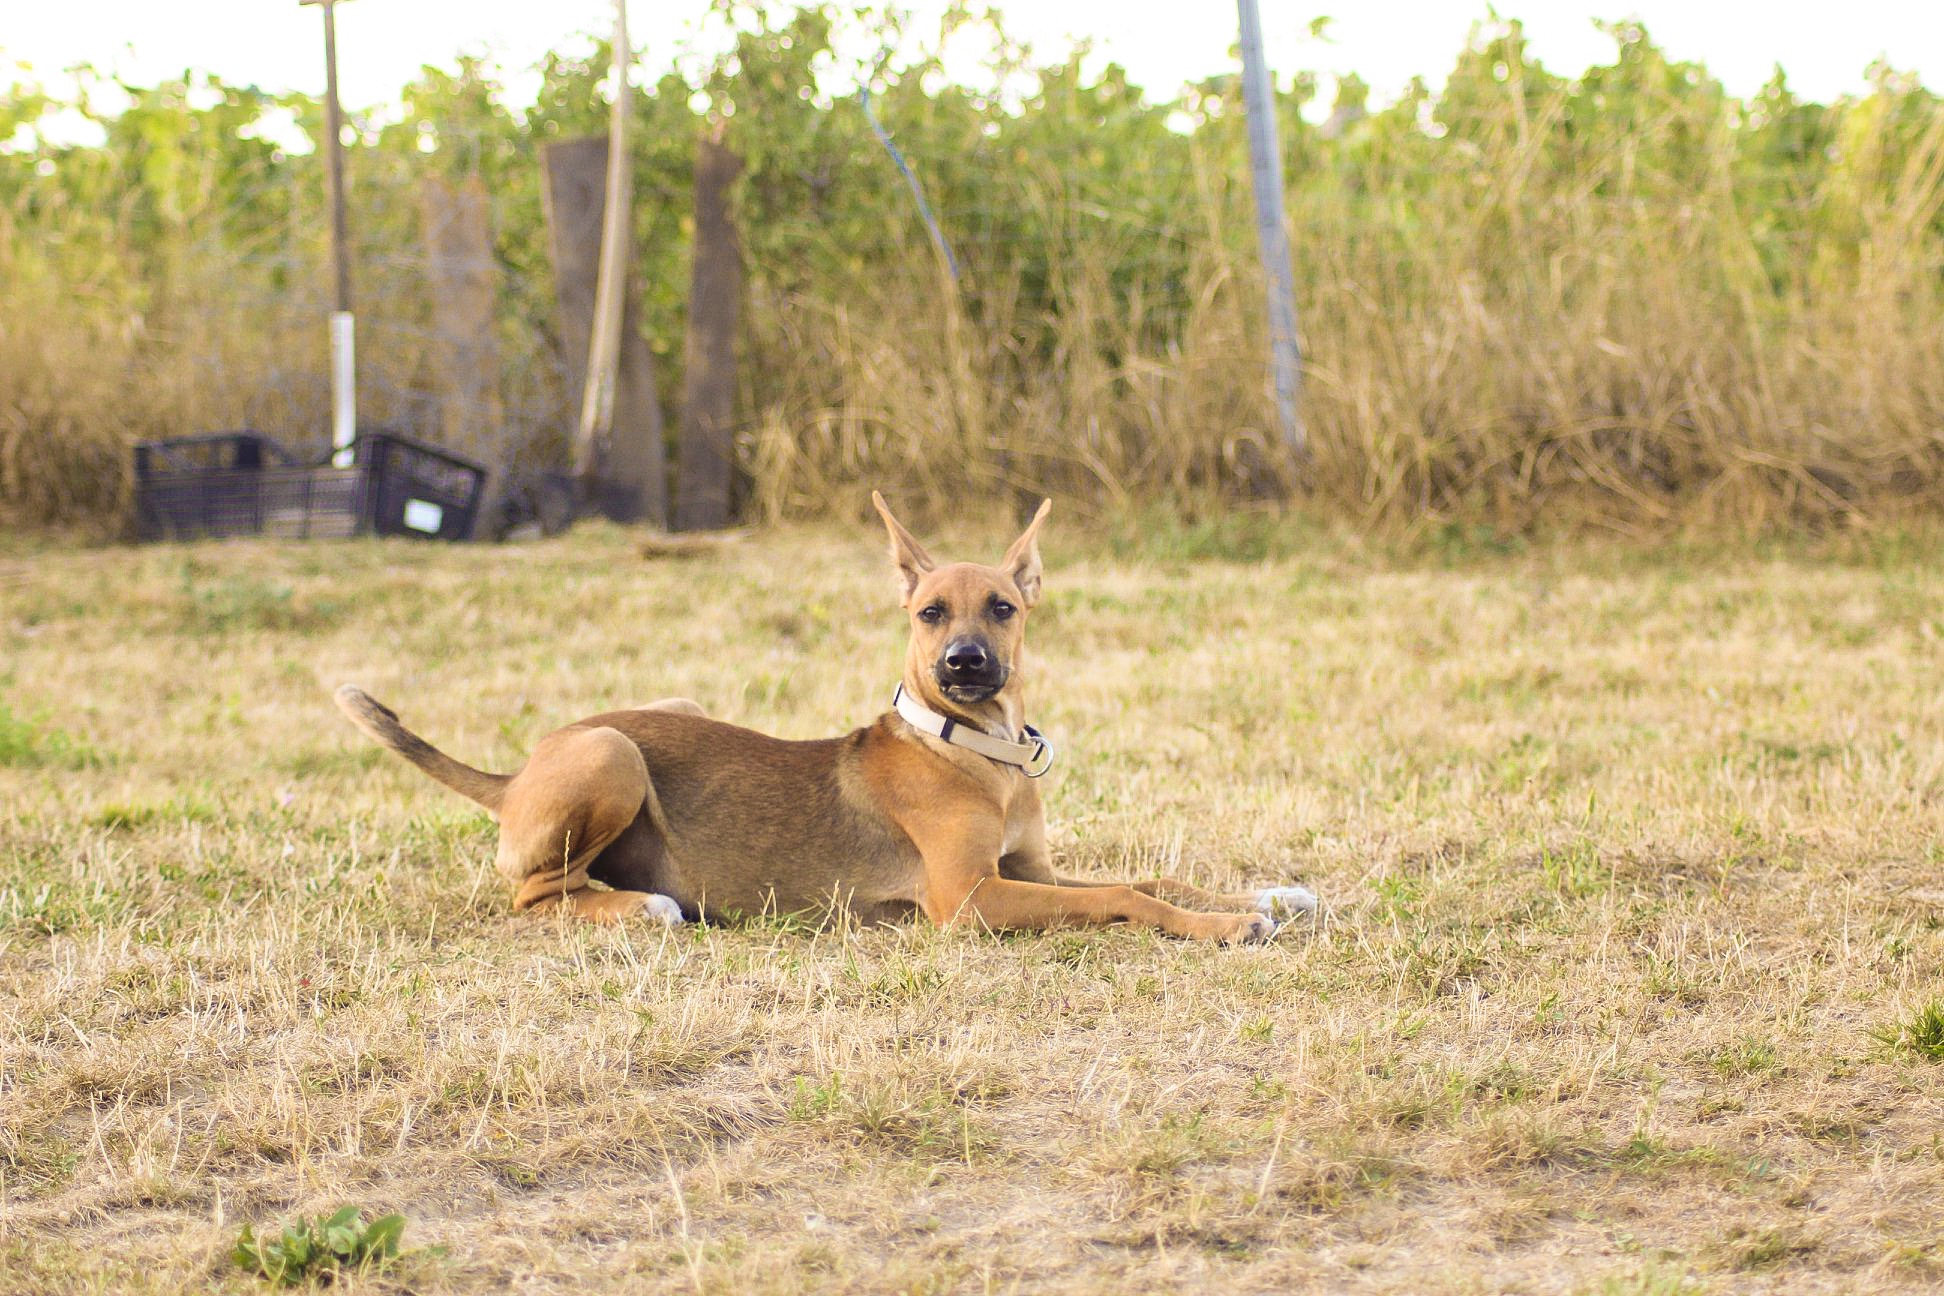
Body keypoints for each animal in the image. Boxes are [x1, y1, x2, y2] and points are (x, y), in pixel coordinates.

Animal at [333, 493, 1317, 941]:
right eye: (930, 614)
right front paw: (1229, 926)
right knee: (536, 894)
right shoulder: (971, 899)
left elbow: (1153, 875)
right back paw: (646, 905)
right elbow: (1123, 894)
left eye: (1003, 607)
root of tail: (514, 776)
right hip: (611, 752)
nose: (964, 664)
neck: (976, 752)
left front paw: (1269, 895)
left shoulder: (1028, 870)